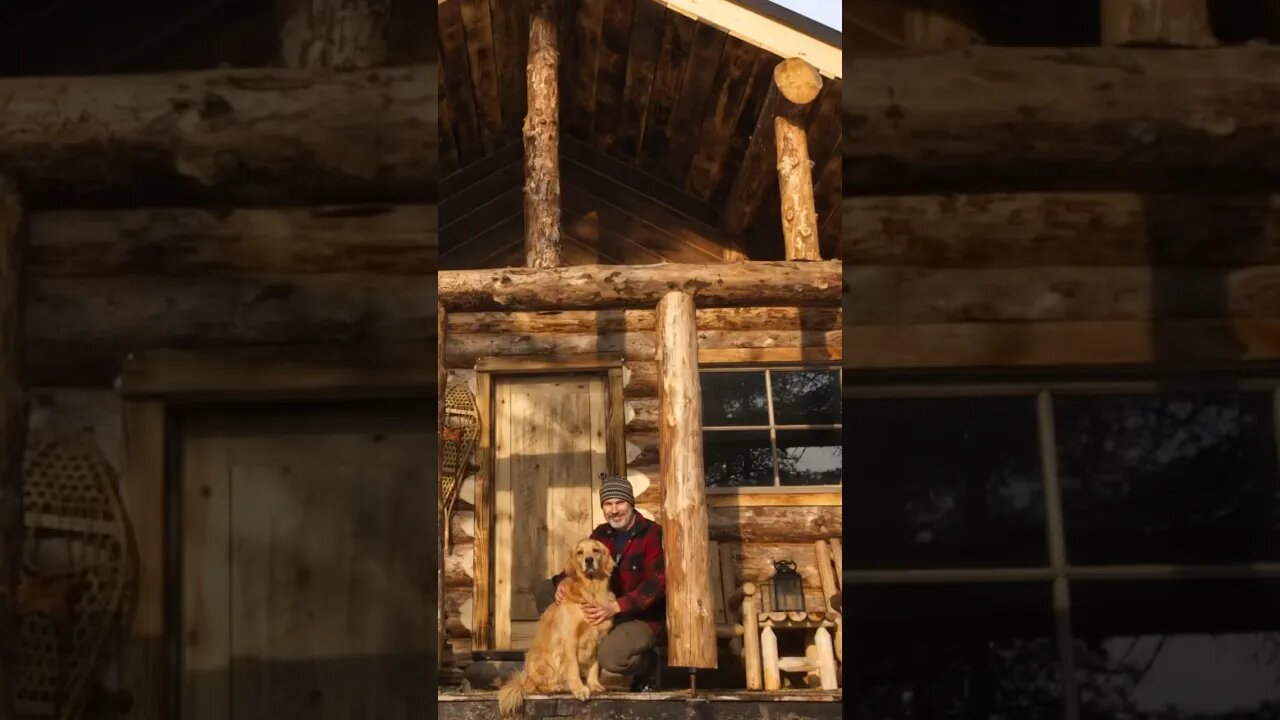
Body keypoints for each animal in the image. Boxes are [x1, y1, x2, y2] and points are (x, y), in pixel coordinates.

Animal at [496, 535, 616, 712]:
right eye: (580, 552)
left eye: (596, 550)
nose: (589, 560)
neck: (591, 591)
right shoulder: (570, 638)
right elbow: (573, 667)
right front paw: (579, 689)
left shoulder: (598, 639)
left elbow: (595, 666)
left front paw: (594, 685)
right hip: (538, 661)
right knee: (537, 686)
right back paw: (557, 687)